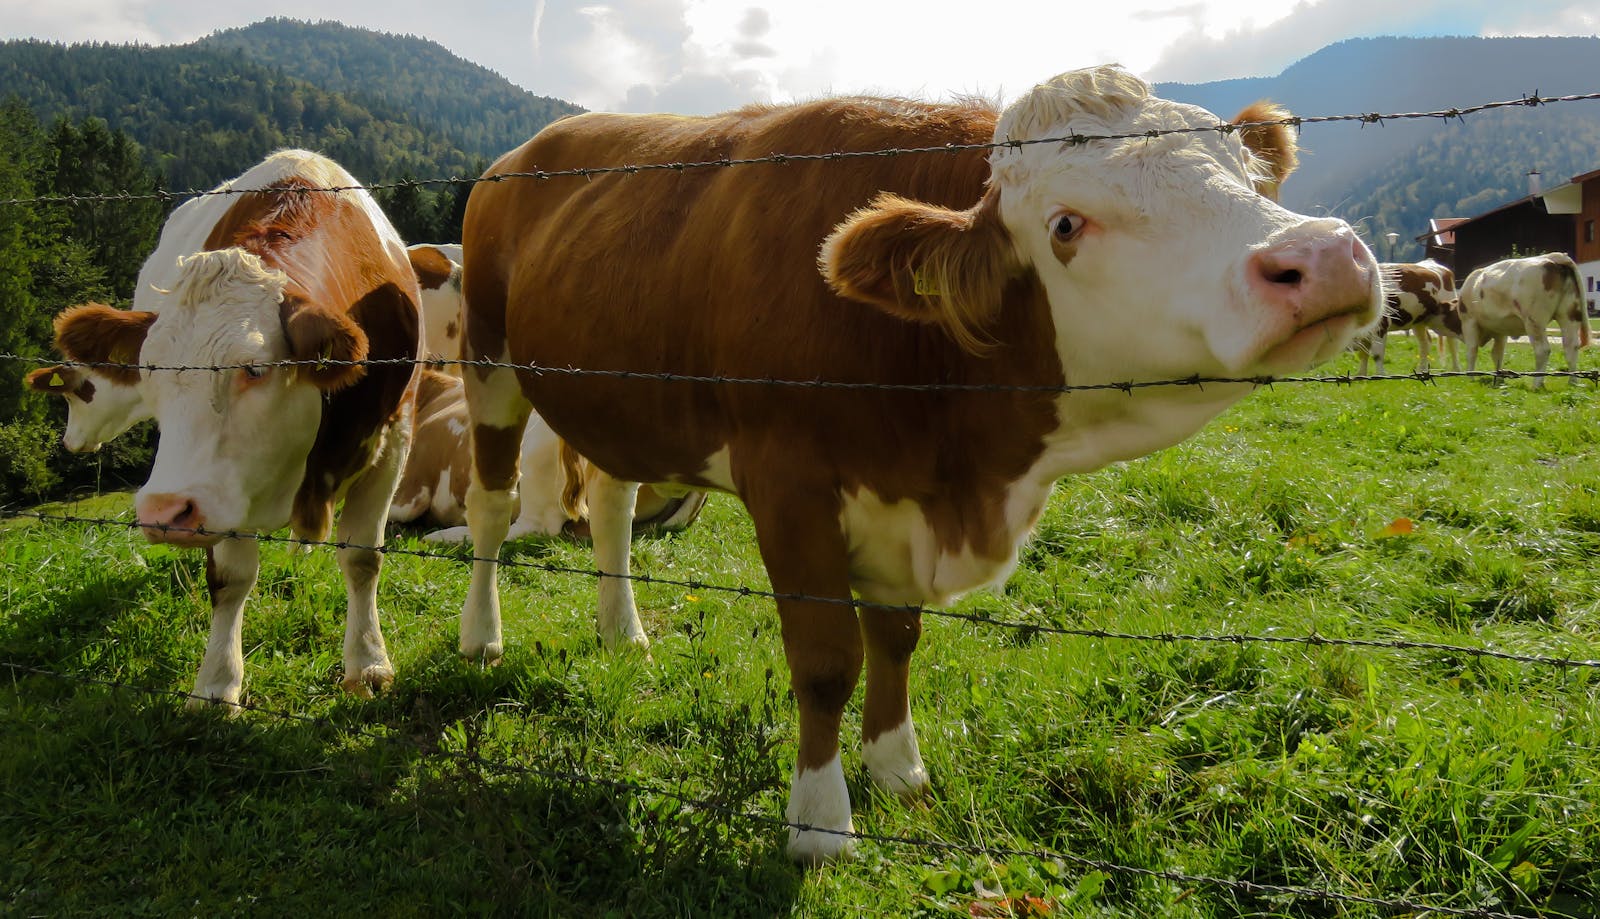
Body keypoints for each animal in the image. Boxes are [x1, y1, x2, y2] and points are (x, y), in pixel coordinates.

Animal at [54, 149, 422, 714]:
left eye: (254, 368)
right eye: (150, 369)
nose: (163, 513)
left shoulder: (393, 439)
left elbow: (361, 558)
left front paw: (368, 663)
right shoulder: (218, 489)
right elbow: (230, 579)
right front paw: (215, 685)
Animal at [457, 66, 1382, 864]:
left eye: (1251, 179)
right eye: (1065, 225)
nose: (1324, 256)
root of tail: (524, 153)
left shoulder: (899, 497)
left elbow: (896, 637)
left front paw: (897, 767)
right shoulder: (788, 481)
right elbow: (826, 658)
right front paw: (820, 822)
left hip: (621, 398)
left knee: (612, 500)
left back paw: (624, 633)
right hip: (486, 360)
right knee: (491, 506)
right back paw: (481, 636)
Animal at [1465, 252, 1587, 389]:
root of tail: (1554, 257)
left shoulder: (1469, 320)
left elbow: (1472, 350)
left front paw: (1470, 378)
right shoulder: (1501, 329)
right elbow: (1497, 354)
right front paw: (1499, 379)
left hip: (1534, 320)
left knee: (1543, 350)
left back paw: (1537, 384)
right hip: (1569, 314)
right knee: (1571, 346)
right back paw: (1573, 382)